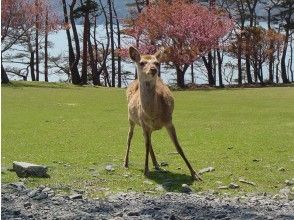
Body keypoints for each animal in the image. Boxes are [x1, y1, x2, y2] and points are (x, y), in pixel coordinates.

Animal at [124, 46, 202, 180]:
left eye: (157, 63)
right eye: (142, 63)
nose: (153, 69)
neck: (153, 113)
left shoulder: (169, 120)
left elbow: (178, 146)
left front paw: (195, 174)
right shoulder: (144, 123)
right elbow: (145, 145)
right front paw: (146, 171)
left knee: (148, 141)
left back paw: (155, 163)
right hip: (131, 119)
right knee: (130, 136)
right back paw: (126, 163)